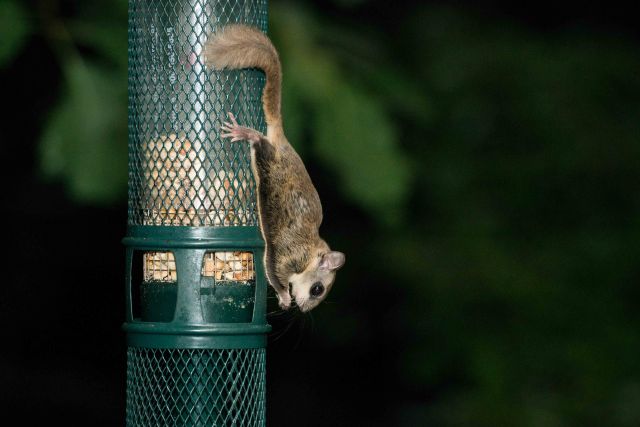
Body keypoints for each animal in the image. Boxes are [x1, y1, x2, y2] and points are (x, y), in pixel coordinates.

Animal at [204, 24, 345, 312]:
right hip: (268, 161)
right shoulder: (286, 257)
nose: (300, 310)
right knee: (260, 142)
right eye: (317, 289)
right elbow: (274, 273)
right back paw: (246, 133)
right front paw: (283, 297)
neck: (310, 253)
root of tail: (283, 141)